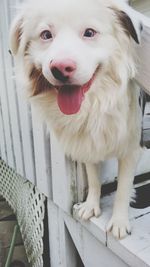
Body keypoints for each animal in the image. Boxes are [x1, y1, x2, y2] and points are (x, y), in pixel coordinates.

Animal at [10, 0, 142, 240]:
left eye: (89, 33)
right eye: (46, 35)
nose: (60, 68)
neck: (95, 105)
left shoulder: (131, 148)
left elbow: (123, 187)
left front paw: (119, 222)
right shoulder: (86, 143)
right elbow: (93, 177)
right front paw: (91, 205)